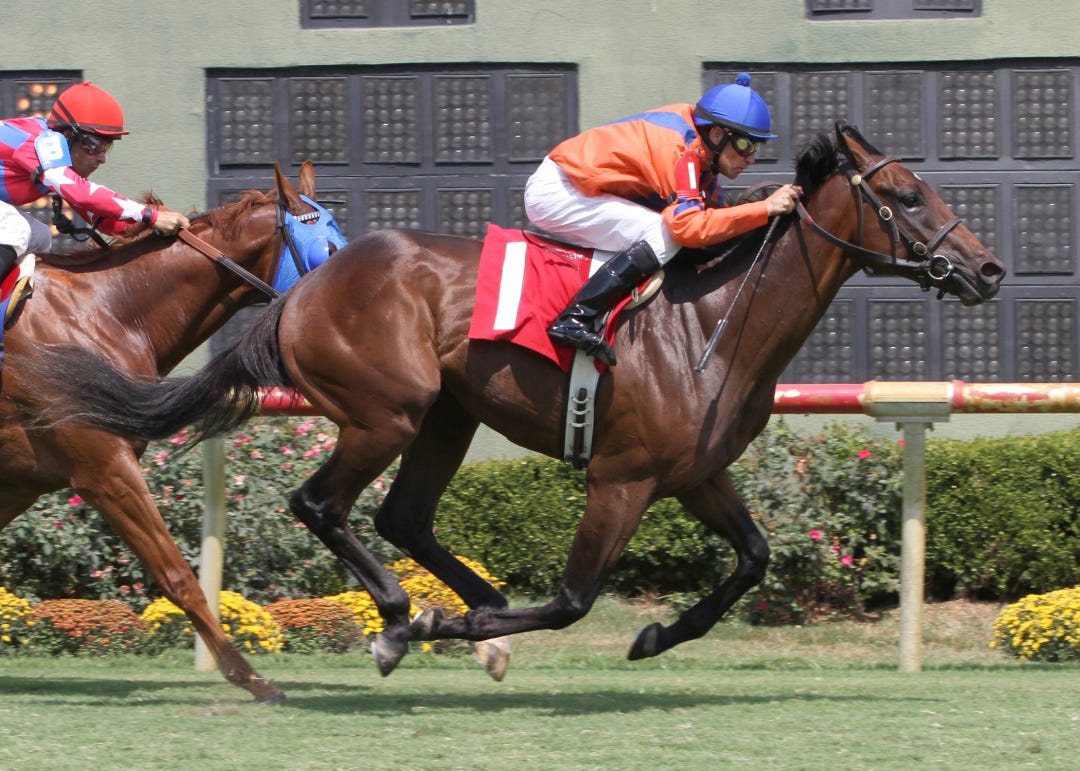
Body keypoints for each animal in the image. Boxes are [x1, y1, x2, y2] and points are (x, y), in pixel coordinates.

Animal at [0, 161, 346, 703]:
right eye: (328, 249)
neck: (109, 311)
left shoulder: (22, 481)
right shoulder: (105, 470)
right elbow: (178, 575)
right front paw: (251, 677)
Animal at [23, 122, 1006, 680]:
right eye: (907, 193)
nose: (989, 268)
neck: (713, 318)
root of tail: (300, 289)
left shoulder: (694, 473)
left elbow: (755, 558)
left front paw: (655, 634)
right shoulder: (622, 476)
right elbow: (572, 597)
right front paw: (457, 622)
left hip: (448, 413)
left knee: (404, 517)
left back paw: (448, 612)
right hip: (388, 410)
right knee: (321, 503)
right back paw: (405, 617)